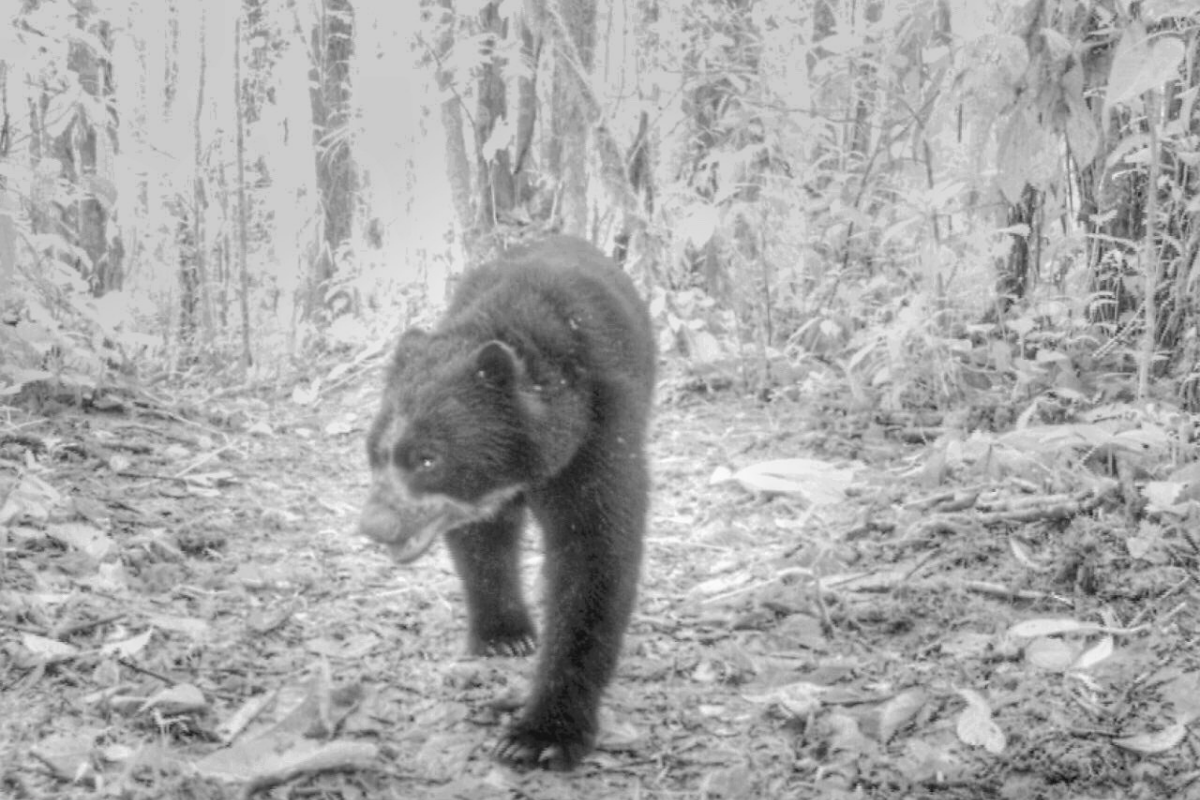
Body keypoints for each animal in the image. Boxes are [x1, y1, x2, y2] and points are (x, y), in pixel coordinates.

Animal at [358, 235, 655, 771]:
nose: (375, 524)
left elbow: (593, 556)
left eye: (428, 458)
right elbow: (483, 543)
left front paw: (541, 734)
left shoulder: (599, 433)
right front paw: (505, 635)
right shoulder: (475, 500)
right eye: (376, 451)